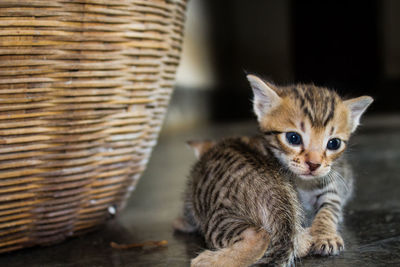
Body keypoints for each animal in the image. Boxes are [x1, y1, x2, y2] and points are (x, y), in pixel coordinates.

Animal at [173, 74, 374, 266]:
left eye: (334, 143)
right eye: (293, 138)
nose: (314, 164)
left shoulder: (333, 184)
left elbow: (329, 209)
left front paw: (325, 234)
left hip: (218, 218)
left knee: (259, 235)